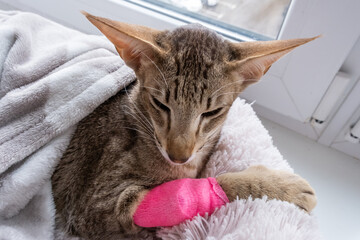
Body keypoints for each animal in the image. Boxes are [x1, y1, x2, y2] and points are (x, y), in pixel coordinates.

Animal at [51, 12, 318, 239]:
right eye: (160, 104)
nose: (178, 156)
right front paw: (278, 184)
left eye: (212, 112)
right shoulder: (94, 207)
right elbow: (188, 194)